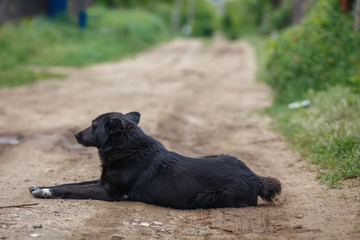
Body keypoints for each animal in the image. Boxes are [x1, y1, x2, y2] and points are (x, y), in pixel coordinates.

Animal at [29, 112, 282, 208]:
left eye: (92, 125)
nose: (75, 135)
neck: (127, 148)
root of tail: (255, 177)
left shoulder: (110, 192)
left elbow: (71, 189)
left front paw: (45, 192)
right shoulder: (103, 181)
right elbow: (70, 184)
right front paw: (40, 187)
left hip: (207, 197)